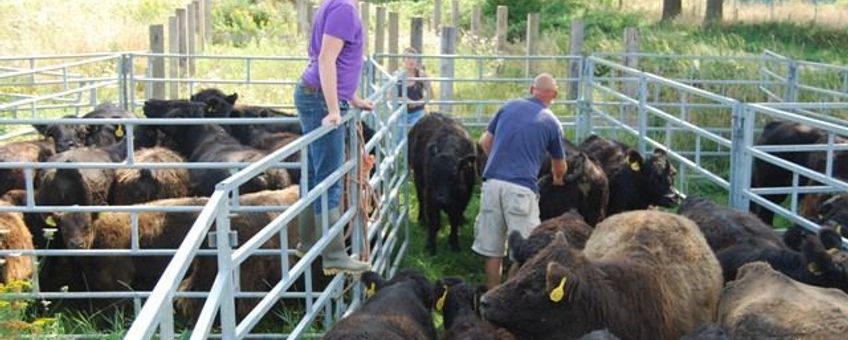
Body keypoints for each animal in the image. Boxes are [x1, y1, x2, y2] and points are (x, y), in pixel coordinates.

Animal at [410, 113, 480, 254]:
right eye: (433, 175)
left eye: (453, 177)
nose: (440, 199)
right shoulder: (430, 197)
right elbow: (434, 222)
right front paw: (430, 246)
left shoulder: (463, 199)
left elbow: (454, 220)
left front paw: (454, 243)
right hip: (418, 181)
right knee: (421, 201)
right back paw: (422, 220)